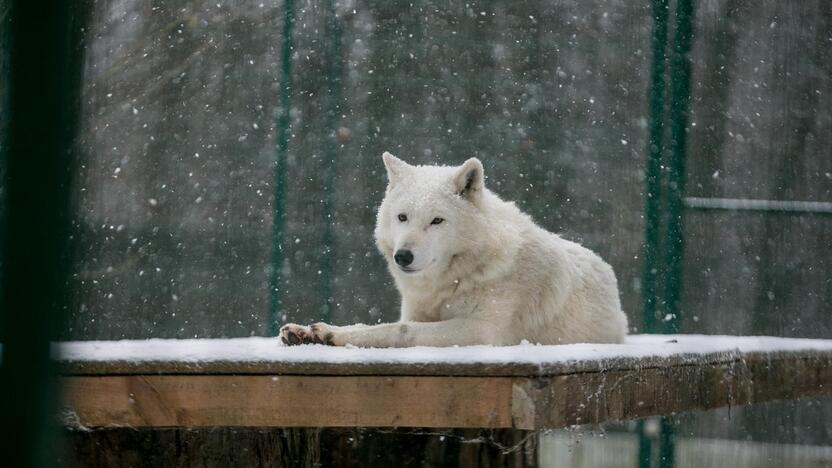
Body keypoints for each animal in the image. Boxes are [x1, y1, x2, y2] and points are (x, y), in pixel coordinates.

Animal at [280, 154, 624, 348]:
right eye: (402, 217)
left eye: (436, 221)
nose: (403, 256)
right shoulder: (416, 310)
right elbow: (380, 324)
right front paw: (308, 332)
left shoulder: (480, 331)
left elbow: (400, 330)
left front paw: (334, 336)